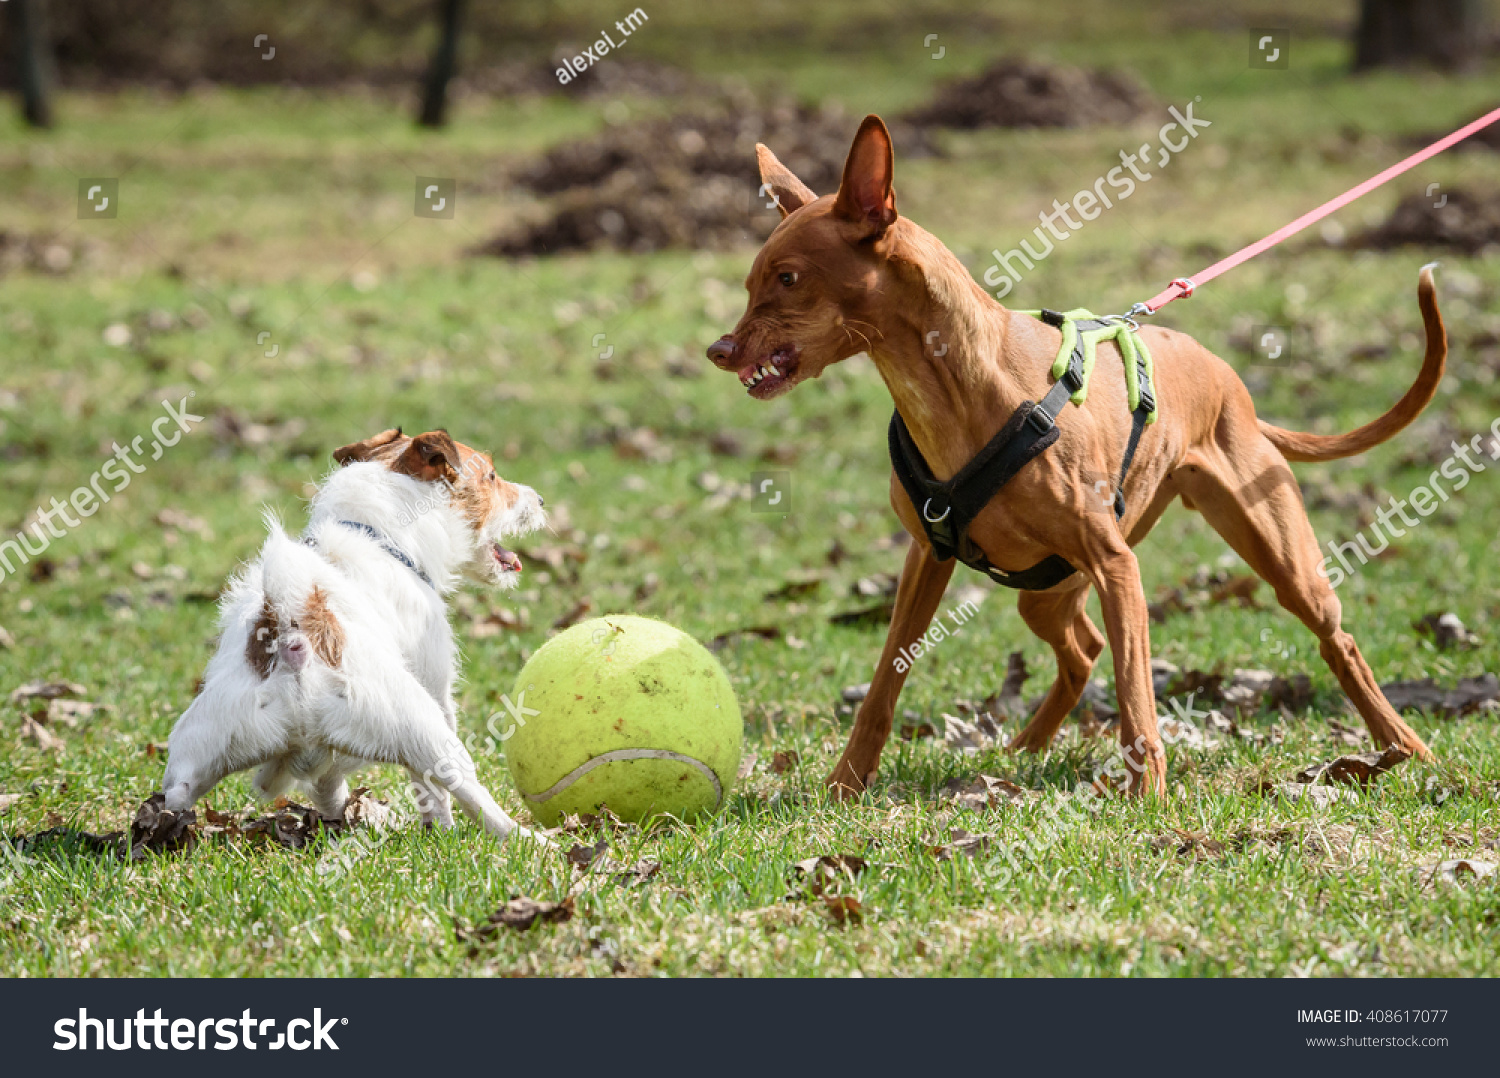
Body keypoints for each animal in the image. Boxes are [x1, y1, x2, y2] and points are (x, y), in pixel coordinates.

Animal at [161, 428, 549, 845]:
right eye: (491, 476)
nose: (541, 499)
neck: (378, 535)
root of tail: (296, 642)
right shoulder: (437, 684)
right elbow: (432, 791)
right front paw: (440, 831)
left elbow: (327, 783)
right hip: (424, 729)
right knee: (475, 799)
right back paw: (533, 841)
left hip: (197, 749)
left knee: (177, 795)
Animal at [708, 113, 1446, 797]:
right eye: (750, 283)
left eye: (788, 277)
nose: (719, 350)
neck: (956, 387)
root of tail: (1230, 381)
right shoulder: (927, 557)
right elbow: (885, 686)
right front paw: (846, 783)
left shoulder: (1117, 566)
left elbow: (1136, 695)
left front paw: (1148, 797)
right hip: (1046, 590)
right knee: (1083, 650)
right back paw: (1025, 748)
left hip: (1279, 559)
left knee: (1337, 642)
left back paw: (1404, 746)